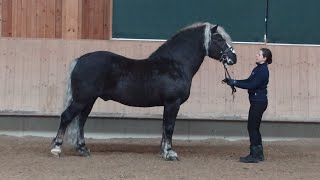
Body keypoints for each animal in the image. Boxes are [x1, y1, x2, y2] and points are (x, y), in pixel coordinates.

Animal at [51, 22, 236, 160]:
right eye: (219, 39)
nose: (233, 58)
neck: (175, 64)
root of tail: (79, 60)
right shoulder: (173, 103)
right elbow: (169, 127)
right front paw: (170, 153)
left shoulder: (167, 105)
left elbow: (164, 127)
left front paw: (164, 151)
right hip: (82, 100)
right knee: (67, 117)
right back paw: (56, 148)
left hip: (89, 100)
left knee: (81, 121)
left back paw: (83, 149)